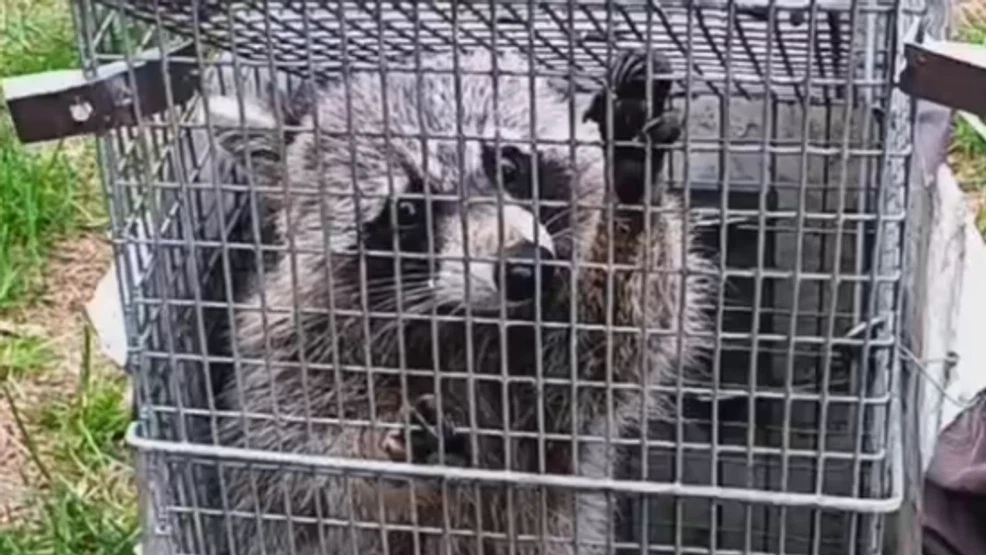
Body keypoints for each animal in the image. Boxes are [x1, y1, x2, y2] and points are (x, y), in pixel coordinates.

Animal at [202, 47, 709, 555]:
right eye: (407, 211)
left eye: (508, 168)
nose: (525, 269)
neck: (458, 319)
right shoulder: (293, 349)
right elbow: (301, 478)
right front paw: (375, 451)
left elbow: (603, 351)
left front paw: (628, 189)